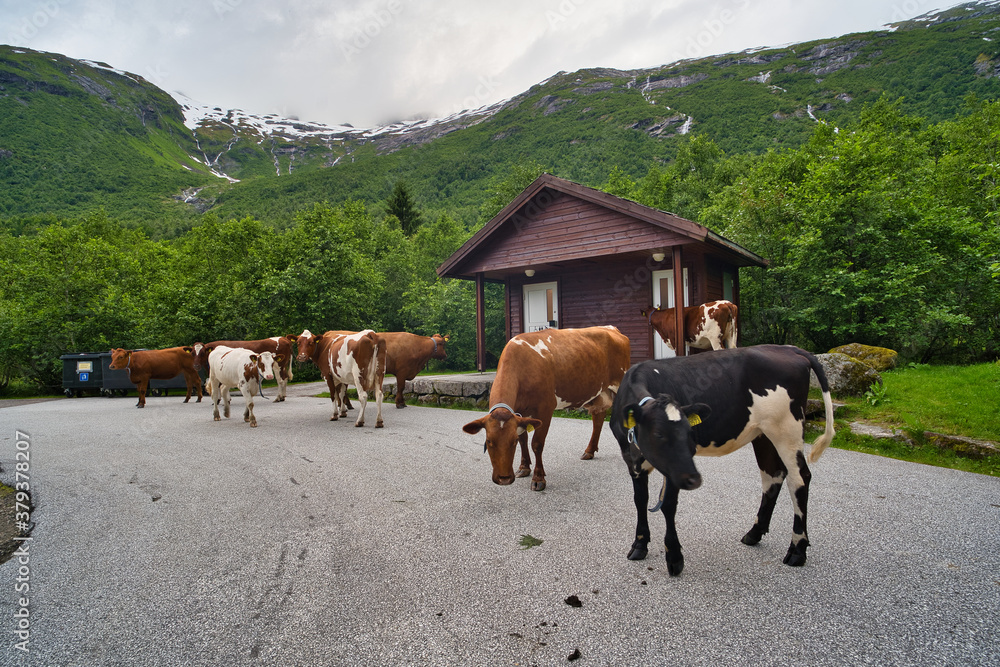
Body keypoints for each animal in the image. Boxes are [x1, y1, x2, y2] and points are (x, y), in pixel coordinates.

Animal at [462, 326, 631, 491]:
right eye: (488, 441)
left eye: (512, 441)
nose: (504, 479)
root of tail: (612, 329)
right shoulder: (520, 414)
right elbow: (524, 439)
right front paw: (524, 468)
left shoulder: (545, 408)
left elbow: (537, 444)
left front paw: (538, 478)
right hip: (599, 393)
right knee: (598, 418)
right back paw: (589, 451)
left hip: (620, 386)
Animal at [609, 344, 835, 576]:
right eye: (659, 434)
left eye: (690, 433)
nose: (694, 479)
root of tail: (788, 348)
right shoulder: (632, 461)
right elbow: (640, 500)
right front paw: (639, 545)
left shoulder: (674, 469)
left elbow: (668, 505)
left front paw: (674, 557)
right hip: (763, 434)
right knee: (773, 475)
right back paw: (754, 533)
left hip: (787, 429)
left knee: (799, 479)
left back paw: (797, 549)